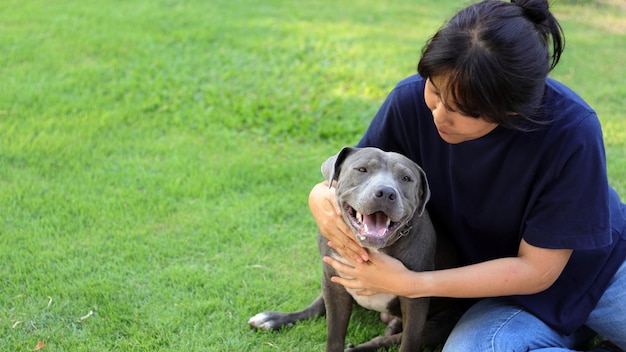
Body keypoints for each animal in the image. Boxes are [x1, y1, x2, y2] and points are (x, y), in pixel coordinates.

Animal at [246, 147, 466, 350]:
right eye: (362, 169)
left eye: (406, 178)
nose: (386, 192)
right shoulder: (333, 281)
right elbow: (334, 333)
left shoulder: (415, 300)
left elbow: (409, 342)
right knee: (317, 307)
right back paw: (273, 319)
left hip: (439, 323)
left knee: (392, 339)